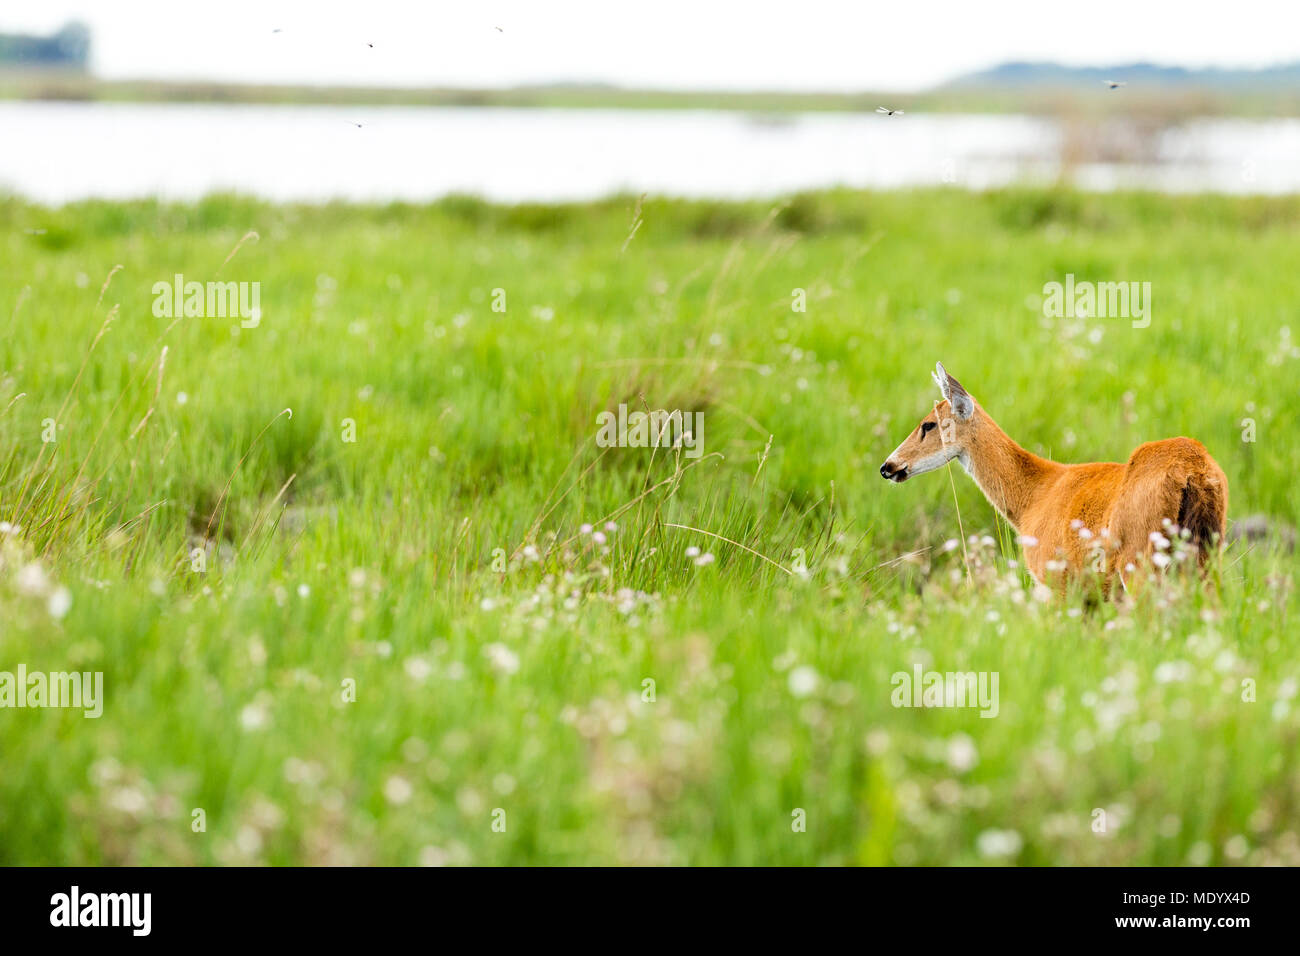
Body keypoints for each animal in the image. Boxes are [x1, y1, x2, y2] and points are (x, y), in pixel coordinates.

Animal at [879, 363, 1228, 595]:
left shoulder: (1053, 579)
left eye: (928, 425)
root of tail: (1193, 469)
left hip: (1141, 557)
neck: (1033, 497)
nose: (888, 466)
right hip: (1206, 549)